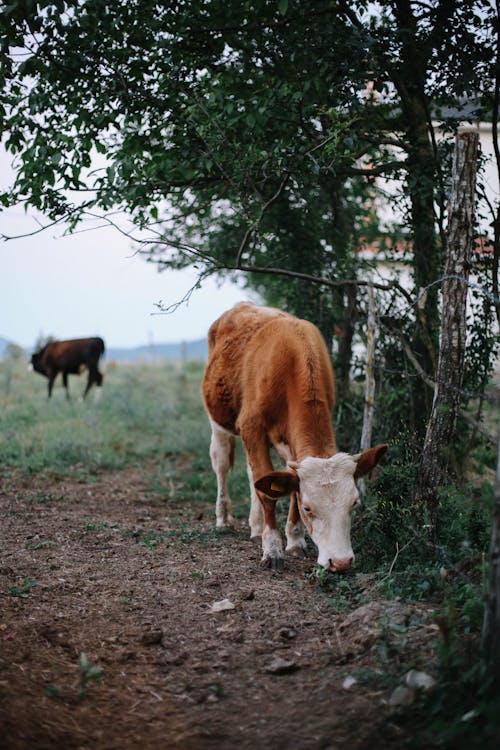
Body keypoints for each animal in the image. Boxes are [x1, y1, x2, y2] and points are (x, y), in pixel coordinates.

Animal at [201, 302, 388, 572]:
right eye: (308, 507)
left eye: (354, 503)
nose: (341, 562)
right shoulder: (251, 426)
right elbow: (268, 492)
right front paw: (272, 549)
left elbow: (286, 488)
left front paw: (296, 540)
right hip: (218, 421)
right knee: (222, 464)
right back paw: (224, 518)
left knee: (254, 475)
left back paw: (255, 525)